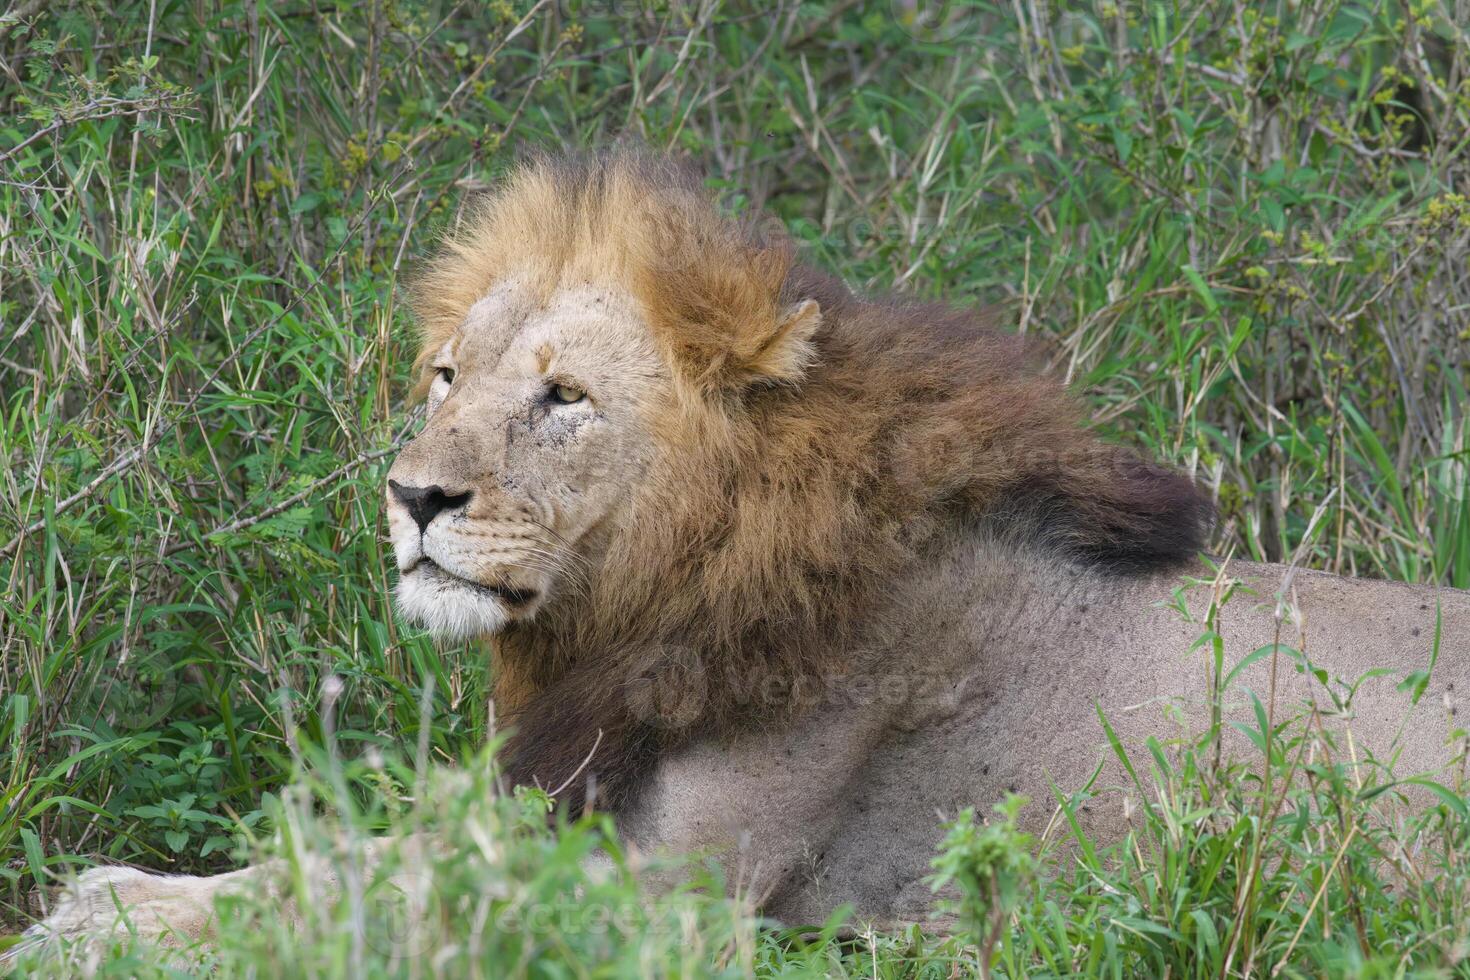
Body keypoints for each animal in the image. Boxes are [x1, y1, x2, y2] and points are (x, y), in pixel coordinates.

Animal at [14, 147, 1470, 957]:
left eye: (563, 397)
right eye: (445, 375)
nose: (412, 496)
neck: (643, 597)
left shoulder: (671, 891)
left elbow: (356, 893)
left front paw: (96, 917)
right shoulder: (562, 795)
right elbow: (323, 863)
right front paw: (120, 897)